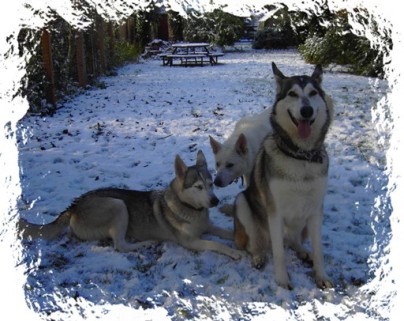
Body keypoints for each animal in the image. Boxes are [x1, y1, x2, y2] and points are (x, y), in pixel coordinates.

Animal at [18, 151, 240, 260]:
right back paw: (146, 243)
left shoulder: (208, 226)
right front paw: (234, 252)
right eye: (198, 187)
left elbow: (228, 233)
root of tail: (74, 205)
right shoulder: (191, 242)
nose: (215, 201)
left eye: (211, 184)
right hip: (118, 206)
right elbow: (216, 244)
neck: (192, 210)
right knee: (120, 246)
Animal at [234, 62, 334, 288]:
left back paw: (303, 252)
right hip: (242, 203)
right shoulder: (275, 211)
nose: (306, 110)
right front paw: (281, 281)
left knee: (292, 240)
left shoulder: (316, 210)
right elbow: (279, 253)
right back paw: (258, 256)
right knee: (256, 244)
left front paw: (321, 276)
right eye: (292, 94)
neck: (301, 157)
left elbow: (319, 251)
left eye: (313, 93)